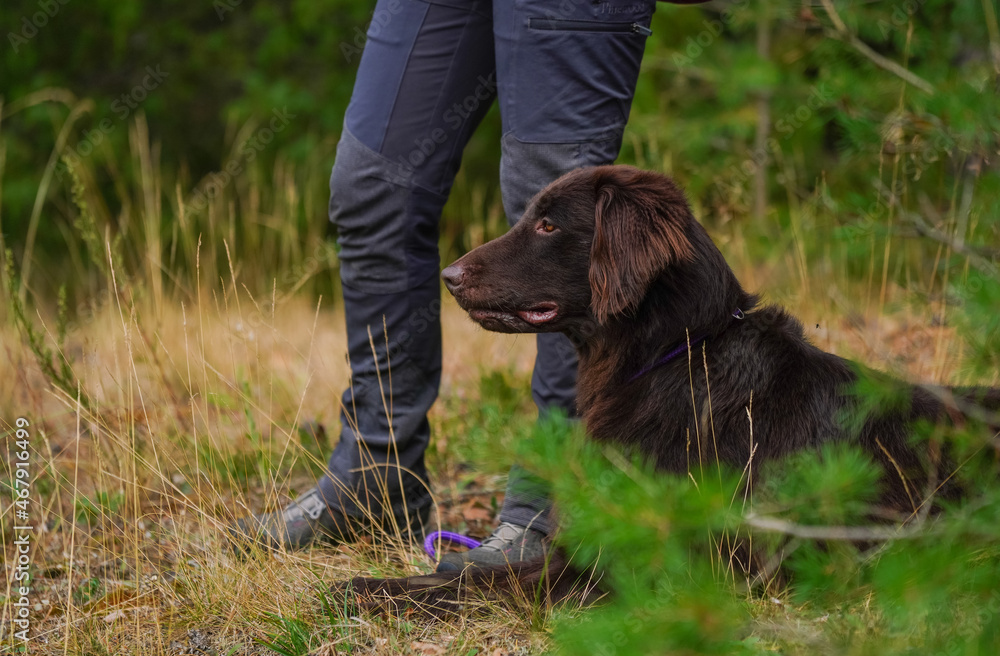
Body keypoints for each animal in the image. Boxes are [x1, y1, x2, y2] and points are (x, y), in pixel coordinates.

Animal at [340, 164, 996, 616]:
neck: (673, 360)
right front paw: (375, 582)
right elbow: (471, 574)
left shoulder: (665, 558)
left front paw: (379, 595)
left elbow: (498, 586)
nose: (448, 276)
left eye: (549, 224)